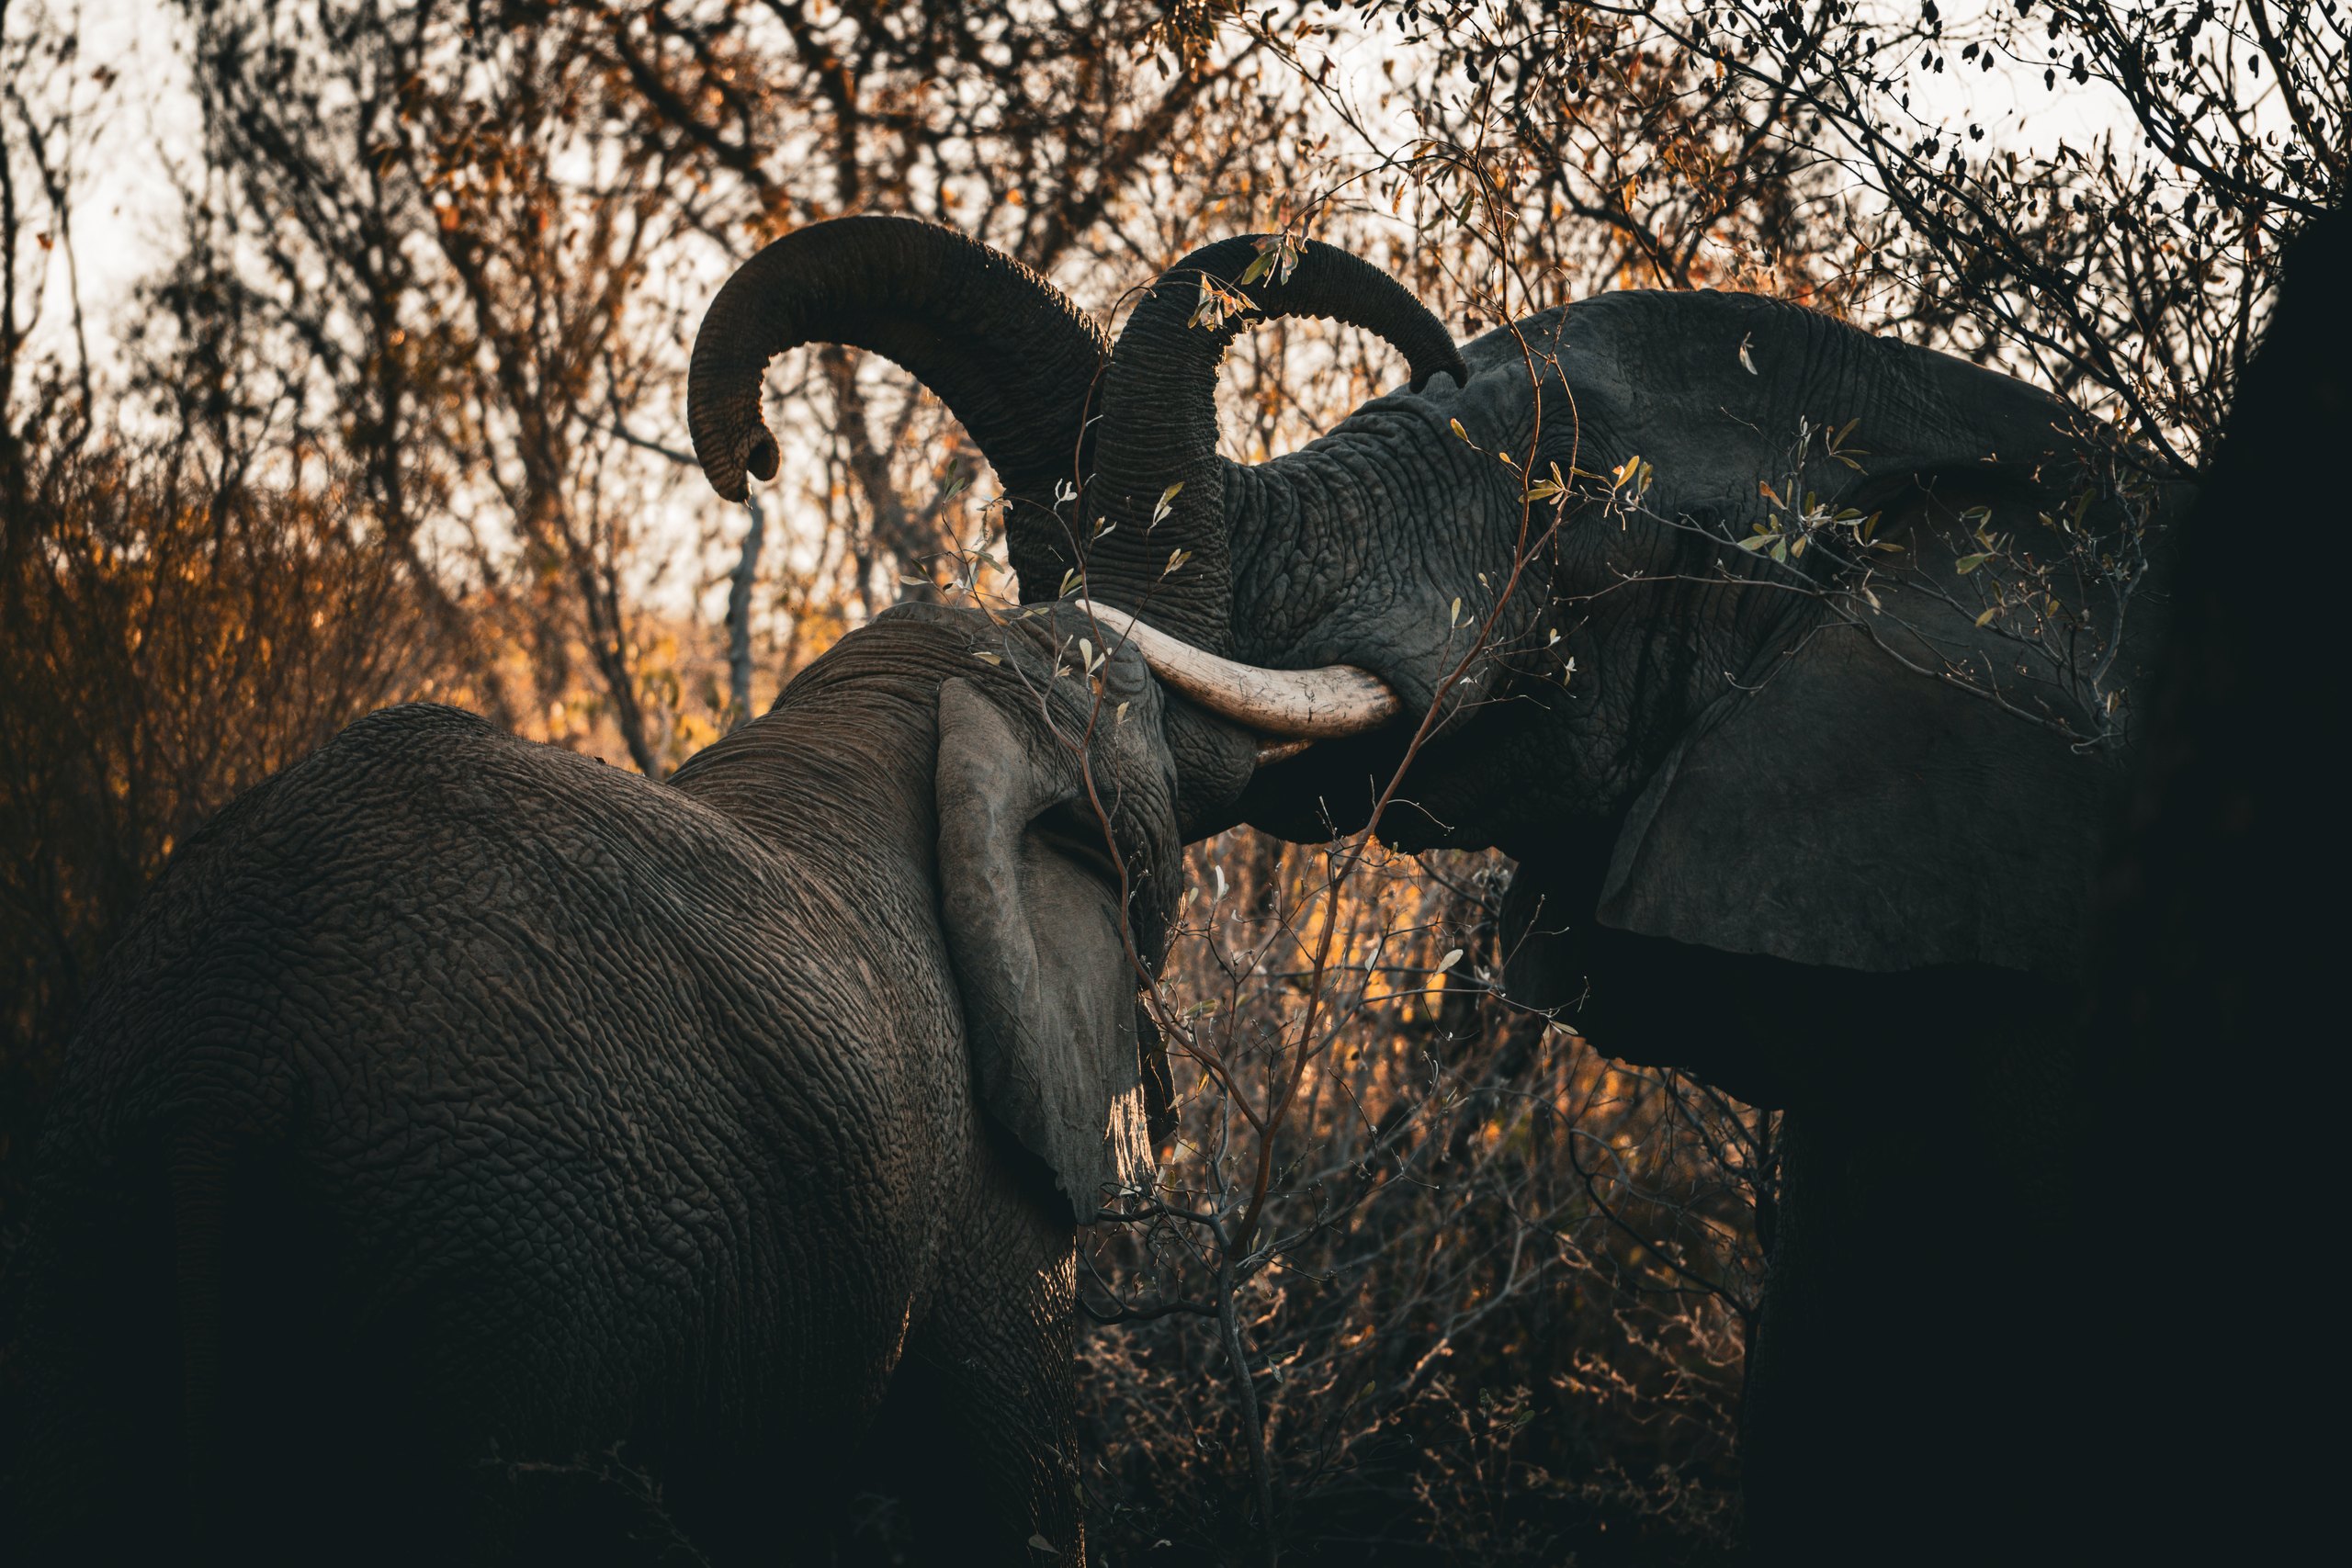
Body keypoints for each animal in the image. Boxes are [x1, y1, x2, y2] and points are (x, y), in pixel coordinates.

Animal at [3, 595, 1189, 1564]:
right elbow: (1004, 1486)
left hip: (82, 1224)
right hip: (523, 1280)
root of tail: (222, 1061)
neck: (895, 703)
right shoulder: (985, 1174)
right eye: (1125, 699)